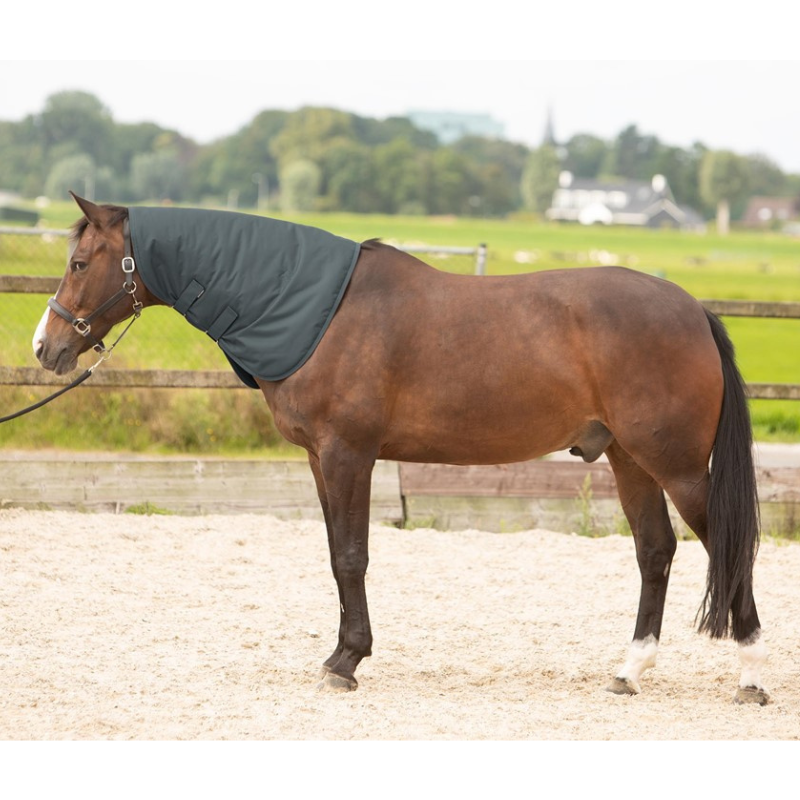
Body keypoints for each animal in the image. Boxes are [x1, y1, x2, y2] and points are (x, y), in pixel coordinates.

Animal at [32, 193, 768, 704]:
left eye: (78, 263)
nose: (46, 347)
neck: (316, 312)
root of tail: (694, 310)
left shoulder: (348, 454)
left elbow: (352, 558)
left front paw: (346, 662)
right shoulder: (319, 459)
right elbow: (337, 556)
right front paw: (340, 655)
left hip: (678, 467)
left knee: (729, 548)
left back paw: (751, 677)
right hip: (629, 459)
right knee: (655, 551)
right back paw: (629, 670)